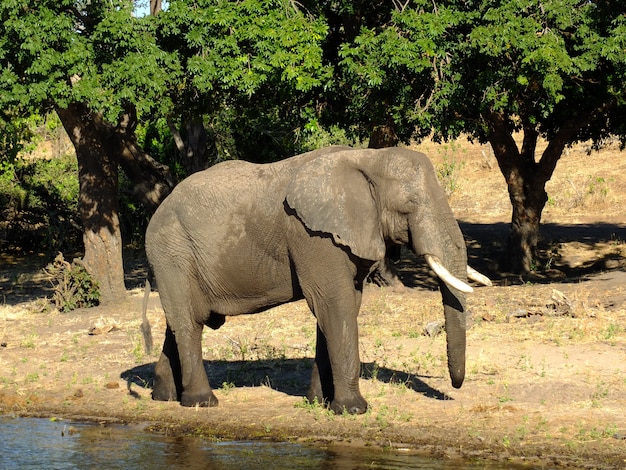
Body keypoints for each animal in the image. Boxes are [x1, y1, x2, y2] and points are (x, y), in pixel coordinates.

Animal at [145, 147, 488, 414]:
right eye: (409, 205)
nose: (455, 386)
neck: (367, 157)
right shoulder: (312, 235)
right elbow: (335, 304)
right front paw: (353, 410)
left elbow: (342, 306)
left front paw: (318, 403)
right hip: (171, 250)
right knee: (189, 322)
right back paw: (201, 402)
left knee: (181, 321)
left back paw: (163, 397)